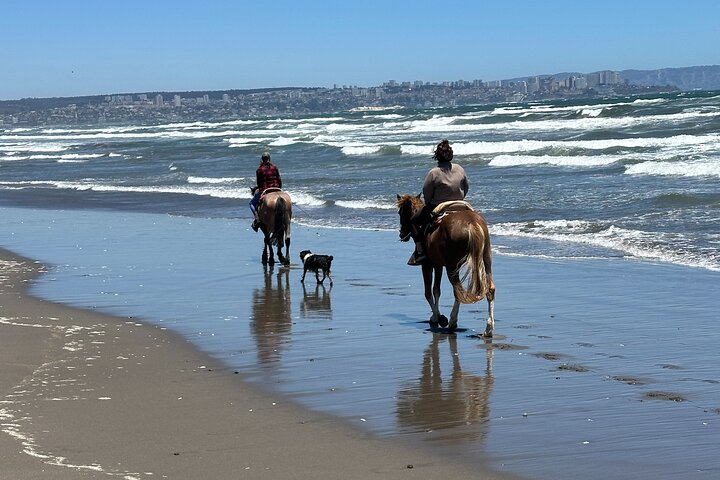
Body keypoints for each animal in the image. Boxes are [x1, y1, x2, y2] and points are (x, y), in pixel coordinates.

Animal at [396, 194, 496, 336]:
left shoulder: (427, 265)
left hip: (452, 266)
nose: (401, 234)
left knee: (458, 291)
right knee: (490, 289)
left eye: (400, 212)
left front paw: (437, 317)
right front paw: (436, 316)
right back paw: (488, 328)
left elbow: (428, 292)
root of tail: (472, 223)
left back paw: (452, 322)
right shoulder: (438, 265)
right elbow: (436, 290)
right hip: (486, 259)